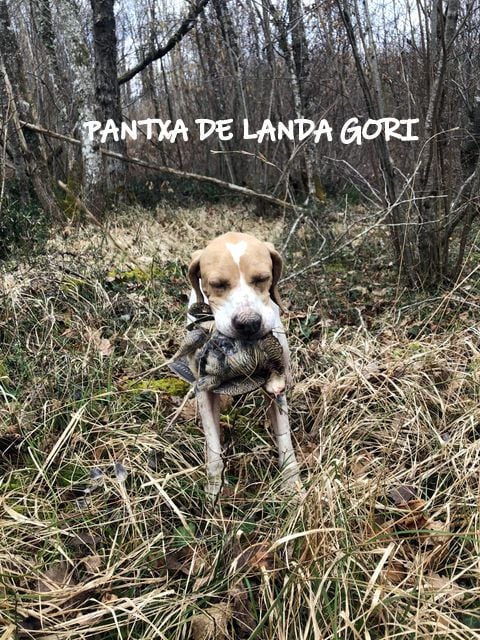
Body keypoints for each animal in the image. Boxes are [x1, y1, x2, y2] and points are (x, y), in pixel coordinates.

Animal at [188, 232, 300, 498]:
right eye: (217, 284)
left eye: (262, 278)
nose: (249, 323)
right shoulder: (205, 389)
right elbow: (213, 448)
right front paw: (213, 490)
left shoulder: (276, 384)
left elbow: (285, 439)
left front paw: (292, 485)